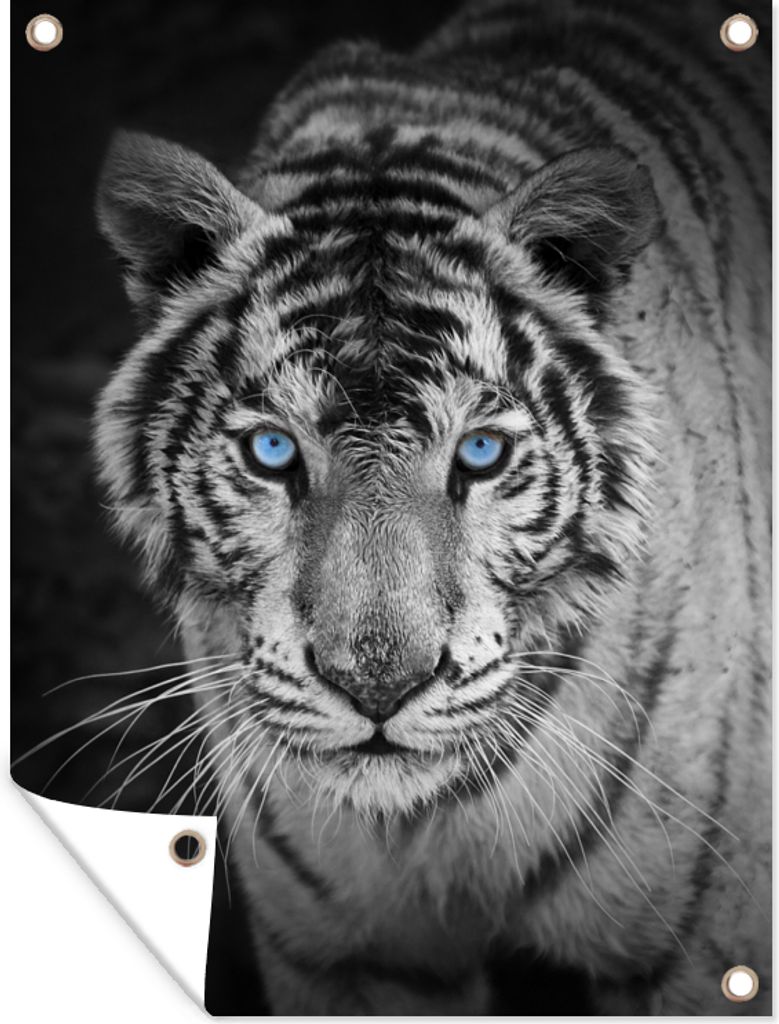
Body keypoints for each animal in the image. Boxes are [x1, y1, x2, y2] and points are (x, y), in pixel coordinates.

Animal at [93, 0, 771, 1014]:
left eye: (480, 454)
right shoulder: (346, 957)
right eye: (272, 451)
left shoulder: (697, 953)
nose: (378, 687)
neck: (428, 826)